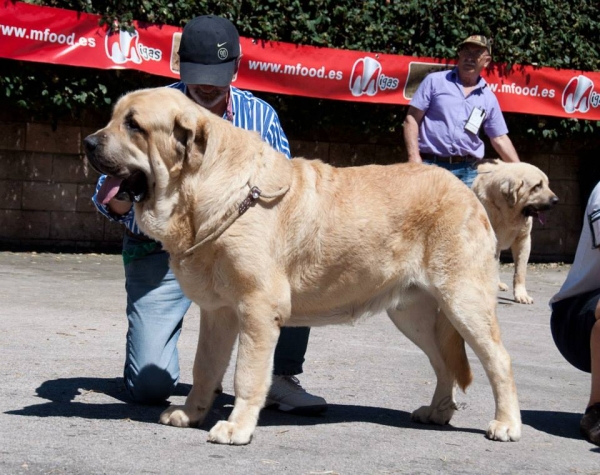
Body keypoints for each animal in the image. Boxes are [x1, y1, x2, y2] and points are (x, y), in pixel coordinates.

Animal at [84, 88, 520, 446]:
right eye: (114, 117)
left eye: (134, 125)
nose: (88, 142)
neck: (207, 191)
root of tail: (467, 191)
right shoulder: (219, 312)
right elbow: (206, 367)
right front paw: (191, 414)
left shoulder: (258, 308)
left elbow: (246, 374)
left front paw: (237, 427)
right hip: (413, 314)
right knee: (443, 362)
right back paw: (438, 412)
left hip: (463, 302)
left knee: (498, 360)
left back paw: (506, 424)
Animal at [474, 161, 556, 304]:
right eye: (537, 186)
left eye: (547, 184)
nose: (556, 200)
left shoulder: (523, 240)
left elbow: (520, 271)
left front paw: (521, 294)